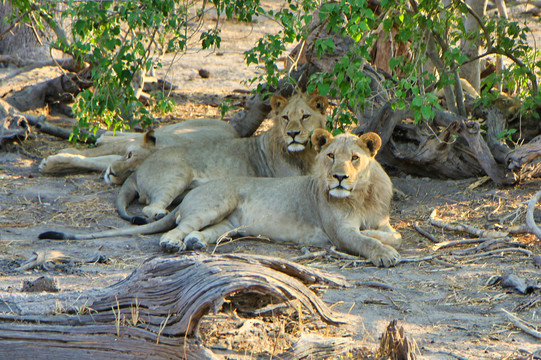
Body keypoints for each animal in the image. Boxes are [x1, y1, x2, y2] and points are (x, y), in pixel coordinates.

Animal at [39, 118, 237, 174]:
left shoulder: (114, 160)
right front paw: (60, 156)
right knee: (137, 134)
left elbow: (91, 160)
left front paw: (52, 164)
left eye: (132, 172)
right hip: (177, 128)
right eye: (129, 155)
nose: (113, 172)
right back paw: (104, 137)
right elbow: (97, 152)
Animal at [39, 129, 400, 268]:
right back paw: (172, 243)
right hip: (215, 201)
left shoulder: (381, 221)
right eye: (330, 156)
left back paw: (196, 244)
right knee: (175, 226)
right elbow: (365, 241)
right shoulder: (338, 231)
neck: (363, 194)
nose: (339, 177)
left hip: (228, 223)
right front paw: (384, 254)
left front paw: (384, 240)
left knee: (203, 232)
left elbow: (389, 233)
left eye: (355, 158)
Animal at [104, 93, 324, 222]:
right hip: (175, 177)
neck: (306, 154)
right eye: (285, 117)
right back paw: (159, 213)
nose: (292, 134)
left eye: (305, 116)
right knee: (149, 207)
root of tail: (138, 171)